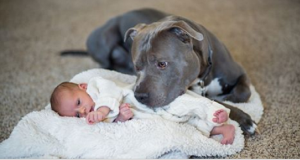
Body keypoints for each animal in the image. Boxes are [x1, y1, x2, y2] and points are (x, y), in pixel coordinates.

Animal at [62, 8, 256, 134]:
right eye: (137, 66)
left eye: (162, 64)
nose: (139, 96)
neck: (204, 75)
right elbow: (217, 102)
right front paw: (243, 118)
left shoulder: (240, 73)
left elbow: (243, 93)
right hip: (103, 40)